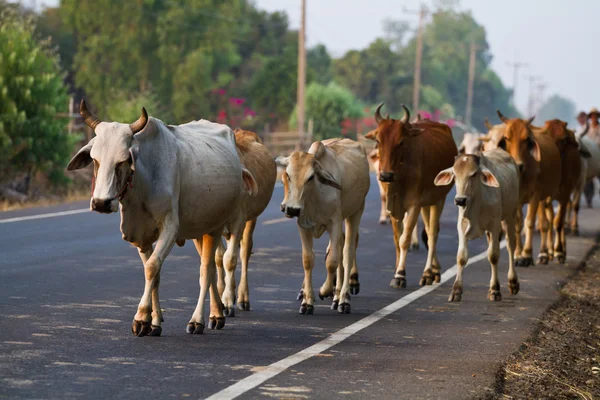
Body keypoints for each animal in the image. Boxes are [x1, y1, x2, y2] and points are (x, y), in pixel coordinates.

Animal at [67, 101, 255, 338]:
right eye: (95, 160)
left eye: (123, 160)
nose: (101, 203)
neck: (143, 184)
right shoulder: (141, 235)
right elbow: (154, 275)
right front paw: (153, 322)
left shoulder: (170, 228)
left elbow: (152, 268)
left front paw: (140, 318)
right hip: (199, 230)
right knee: (211, 269)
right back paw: (216, 314)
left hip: (217, 226)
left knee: (207, 270)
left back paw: (198, 320)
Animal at [276, 139, 370, 314]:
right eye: (288, 175)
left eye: (311, 177)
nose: (291, 209)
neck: (314, 197)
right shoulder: (303, 225)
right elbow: (308, 259)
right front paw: (307, 301)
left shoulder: (334, 222)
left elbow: (332, 261)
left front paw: (324, 291)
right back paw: (336, 296)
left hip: (356, 212)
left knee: (347, 253)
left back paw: (343, 299)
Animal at [366, 104, 460, 288]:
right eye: (378, 141)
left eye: (401, 142)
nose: (385, 176)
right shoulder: (394, 206)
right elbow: (397, 238)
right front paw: (397, 269)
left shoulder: (414, 205)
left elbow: (405, 239)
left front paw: (400, 275)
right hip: (426, 204)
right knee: (429, 232)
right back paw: (435, 271)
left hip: (438, 199)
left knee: (432, 233)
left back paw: (427, 273)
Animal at [436, 148, 520, 302]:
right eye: (455, 175)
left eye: (474, 174)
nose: (460, 200)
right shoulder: (462, 225)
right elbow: (461, 256)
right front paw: (456, 291)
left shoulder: (494, 225)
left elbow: (493, 255)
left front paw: (495, 290)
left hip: (510, 215)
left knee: (511, 246)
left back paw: (513, 282)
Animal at [482, 111, 564, 266]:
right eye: (506, 138)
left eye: (526, 139)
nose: (518, 165)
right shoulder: (516, 199)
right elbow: (517, 225)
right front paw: (517, 255)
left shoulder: (536, 194)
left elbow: (529, 222)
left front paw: (526, 254)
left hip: (545, 196)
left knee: (545, 221)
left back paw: (545, 253)